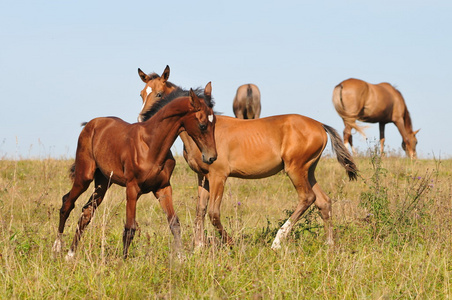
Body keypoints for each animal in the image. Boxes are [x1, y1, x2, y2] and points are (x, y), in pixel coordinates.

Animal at [52, 83, 218, 258]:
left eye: (215, 123)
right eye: (202, 125)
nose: (211, 157)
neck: (151, 145)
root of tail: (90, 124)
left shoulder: (163, 188)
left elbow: (174, 223)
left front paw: (180, 258)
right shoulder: (132, 188)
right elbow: (129, 228)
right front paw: (123, 261)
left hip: (103, 182)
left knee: (87, 211)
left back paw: (71, 254)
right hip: (84, 176)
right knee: (67, 203)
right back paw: (57, 248)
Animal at [138, 66, 356, 251]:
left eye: (159, 94)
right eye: (141, 93)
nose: (142, 118)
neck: (202, 133)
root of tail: (320, 125)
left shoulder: (218, 176)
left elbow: (213, 212)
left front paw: (232, 244)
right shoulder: (203, 176)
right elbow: (200, 209)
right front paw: (198, 247)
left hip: (295, 169)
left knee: (307, 197)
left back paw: (277, 241)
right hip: (308, 170)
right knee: (323, 201)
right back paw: (329, 244)